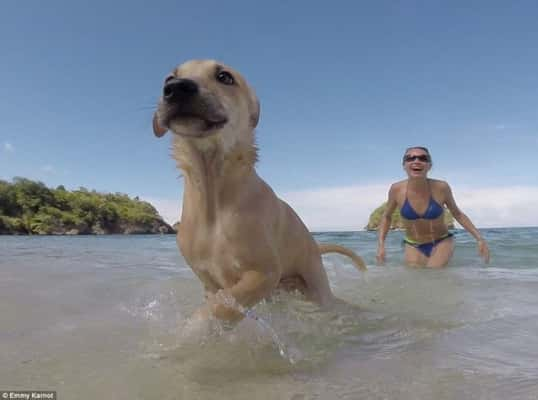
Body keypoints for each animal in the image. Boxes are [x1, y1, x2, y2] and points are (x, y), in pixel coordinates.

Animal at [153, 58, 366, 322]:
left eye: (225, 77)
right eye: (169, 78)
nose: (176, 88)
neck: (213, 193)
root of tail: (315, 245)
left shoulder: (264, 273)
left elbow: (220, 307)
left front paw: (194, 329)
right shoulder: (209, 282)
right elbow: (216, 302)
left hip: (316, 285)